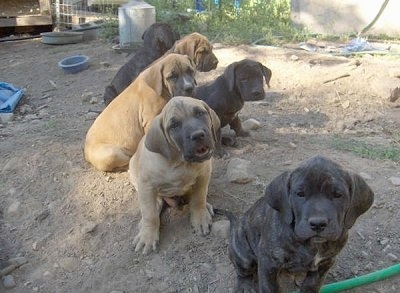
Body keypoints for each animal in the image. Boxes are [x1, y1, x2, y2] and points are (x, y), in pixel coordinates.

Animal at [129, 96, 220, 253]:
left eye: (200, 113)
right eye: (174, 125)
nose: (198, 135)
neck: (180, 162)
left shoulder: (203, 175)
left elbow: (198, 198)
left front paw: (200, 216)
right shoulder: (146, 186)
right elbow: (149, 214)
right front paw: (147, 236)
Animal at [222, 156, 376, 290]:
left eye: (338, 195)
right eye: (300, 194)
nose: (318, 224)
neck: (311, 245)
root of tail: (238, 223)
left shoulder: (324, 264)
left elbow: (311, 286)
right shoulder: (268, 261)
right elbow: (269, 288)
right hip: (244, 256)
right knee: (243, 272)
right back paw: (245, 286)